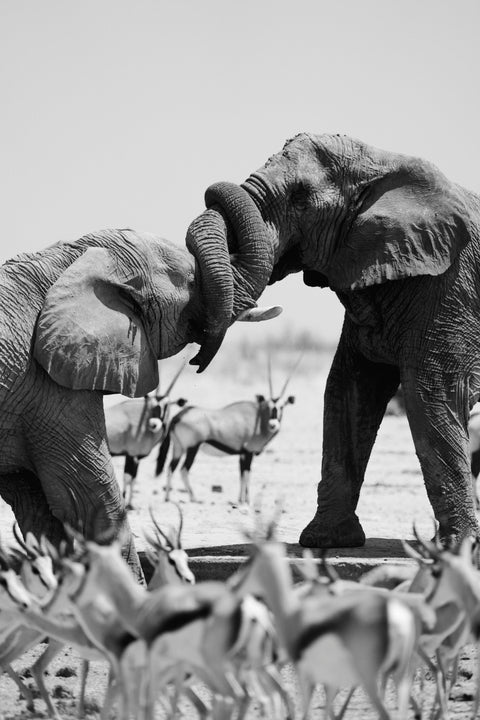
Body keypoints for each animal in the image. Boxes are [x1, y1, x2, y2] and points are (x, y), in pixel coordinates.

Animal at [0, 218, 280, 579]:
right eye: (192, 281)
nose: (198, 360)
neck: (74, 256)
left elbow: (37, 509)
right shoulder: (48, 386)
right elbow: (90, 500)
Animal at [184, 132, 480, 548]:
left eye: (300, 198)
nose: (195, 361)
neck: (383, 165)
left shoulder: (448, 286)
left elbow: (432, 393)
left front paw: (456, 549)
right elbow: (348, 390)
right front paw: (325, 541)